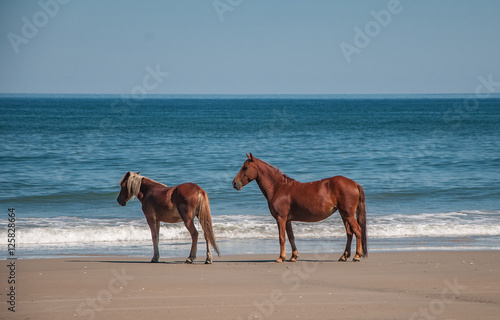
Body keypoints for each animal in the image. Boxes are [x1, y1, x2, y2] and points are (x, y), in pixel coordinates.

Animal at [231, 154, 368, 262]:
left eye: (245, 168)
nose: (234, 183)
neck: (279, 188)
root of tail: (354, 184)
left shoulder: (281, 218)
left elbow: (282, 238)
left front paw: (281, 258)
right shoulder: (287, 220)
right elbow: (291, 237)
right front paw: (293, 257)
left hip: (348, 214)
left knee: (357, 230)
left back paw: (356, 256)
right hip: (343, 214)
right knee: (349, 233)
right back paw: (344, 256)